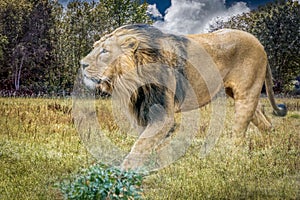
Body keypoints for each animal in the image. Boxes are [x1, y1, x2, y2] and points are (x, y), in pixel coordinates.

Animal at [81, 23, 288, 170]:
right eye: (95, 48)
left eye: (105, 51)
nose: (82, 64)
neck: (131, 79)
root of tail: (260, 44)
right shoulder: (141, 112)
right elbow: (147, 142)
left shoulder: (163, 114)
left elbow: (140, 144)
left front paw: (122, 173)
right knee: (261, 117)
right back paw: (270, 142)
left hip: (246, 94)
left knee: (239, 131)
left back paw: (232, 159)